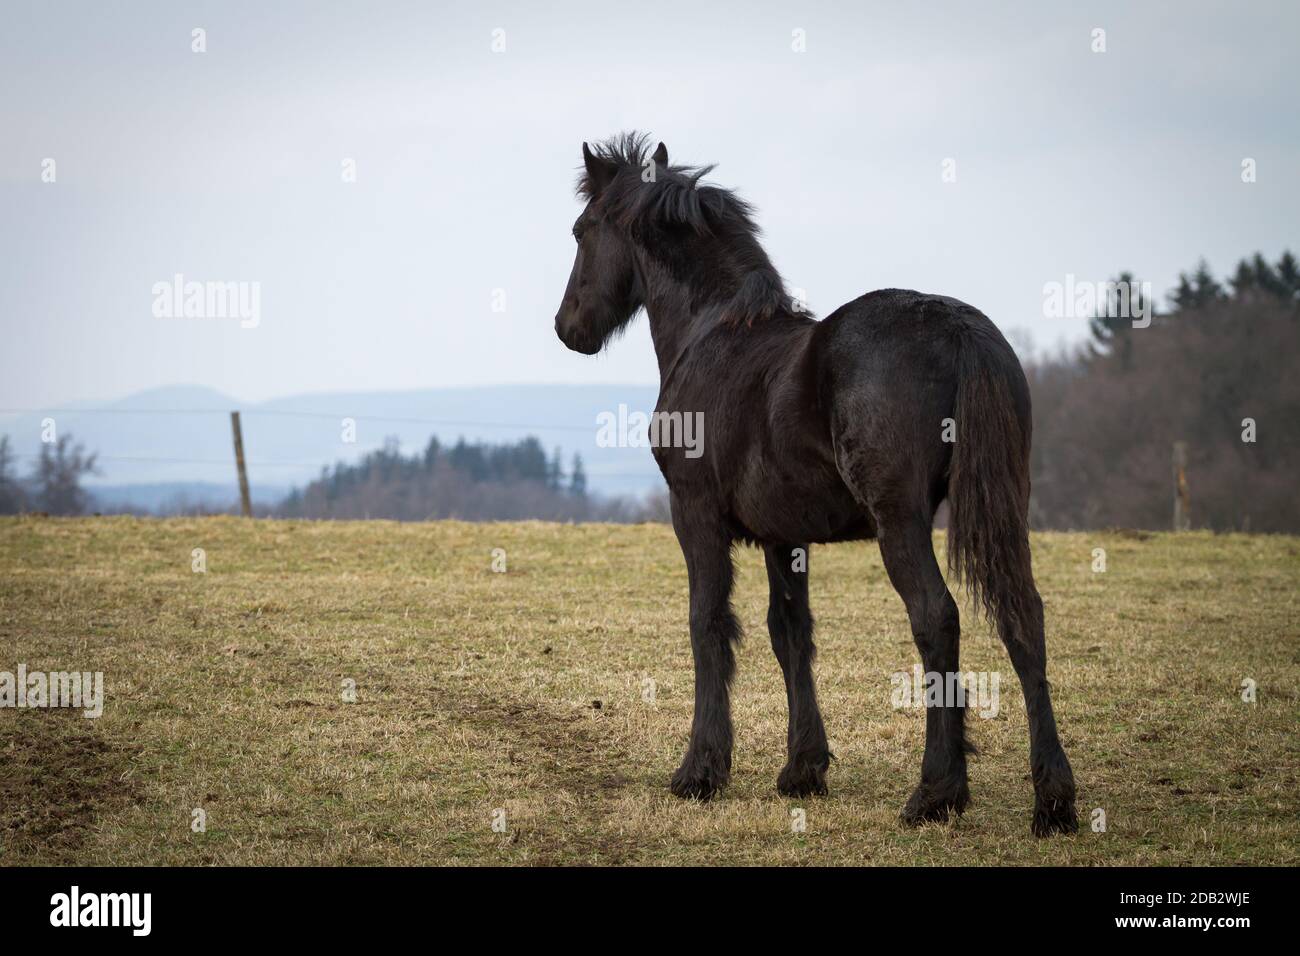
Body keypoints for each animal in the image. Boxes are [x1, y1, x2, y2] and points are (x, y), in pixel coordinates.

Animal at [552, 133, 1077, 836]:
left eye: (582, 231)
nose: (568, 328)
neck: (713, 335)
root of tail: (957, 326)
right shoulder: (784, 536)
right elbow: (790, 632)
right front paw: (803, 769)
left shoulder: (694, 516)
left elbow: (708, 624)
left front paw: (700, 771)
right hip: (1005, 509)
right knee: (1024, 617)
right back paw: (1053, 800)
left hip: (900, 520)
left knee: (936, 617)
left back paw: (936, 793)